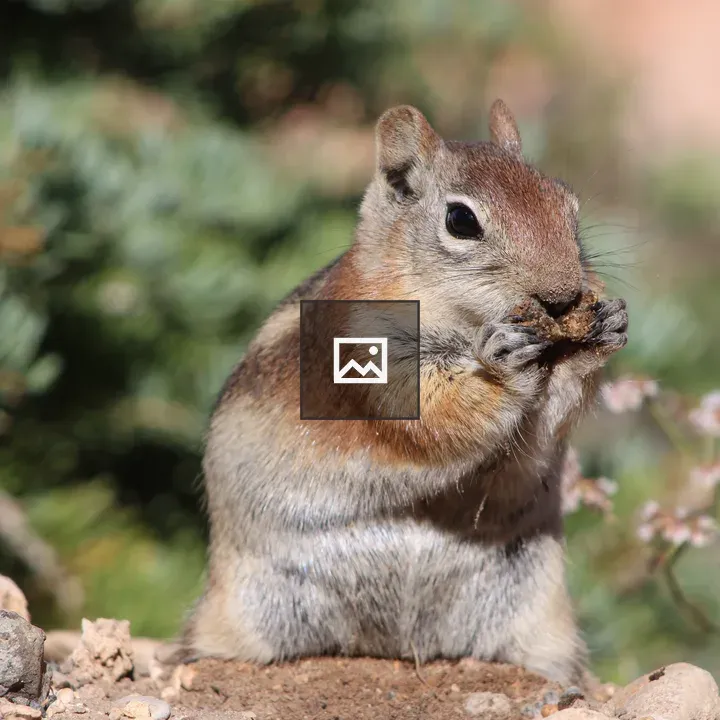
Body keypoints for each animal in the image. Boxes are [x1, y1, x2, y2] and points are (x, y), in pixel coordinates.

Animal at [182, 99, 628, 685]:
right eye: (461, 220)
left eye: (568, 205)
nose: (562, 297)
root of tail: (394, 646)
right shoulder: (367, 353)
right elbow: (431, 417)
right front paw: (503, 364)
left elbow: (546, 425)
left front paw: (605, 328)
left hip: (536, 611)